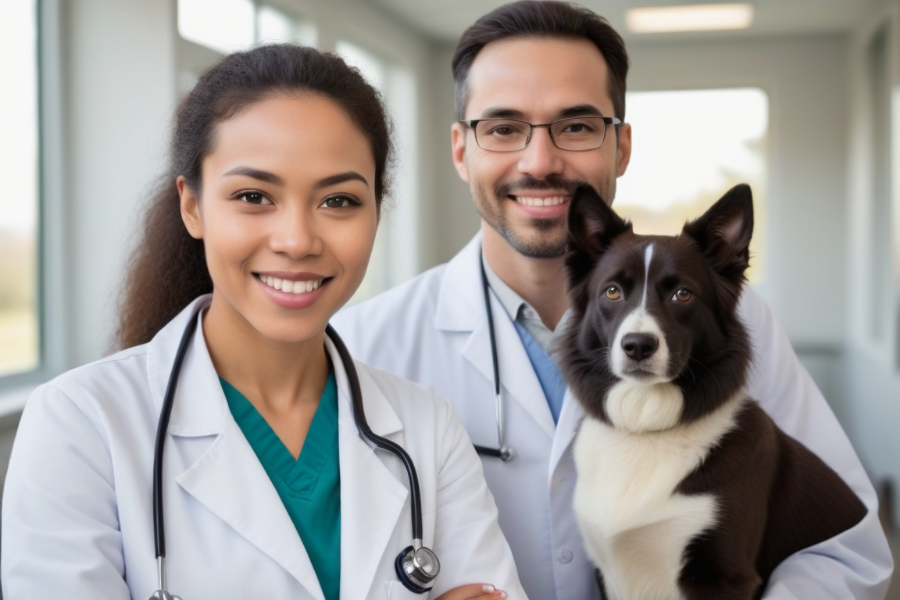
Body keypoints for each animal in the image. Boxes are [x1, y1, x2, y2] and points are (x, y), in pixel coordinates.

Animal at [564, 184, 864, 600]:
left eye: (682, 294)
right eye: (611, 292)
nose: (638, 346)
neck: (646, 426)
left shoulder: (726, 577)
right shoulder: (606, 573)